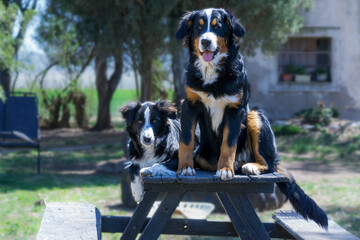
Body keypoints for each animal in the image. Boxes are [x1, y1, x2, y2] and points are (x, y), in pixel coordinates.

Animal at [175, 7, 330, 229]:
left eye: (217, 27)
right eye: (198, 27)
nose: (205, 41)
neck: (211, 71)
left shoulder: (235, 110)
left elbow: (228, 144)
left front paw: (225, 169)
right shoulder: (189, 105)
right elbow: (186, 141)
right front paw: (185, 167)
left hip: (255, 115)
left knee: (269, 163)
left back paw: (248, 166)